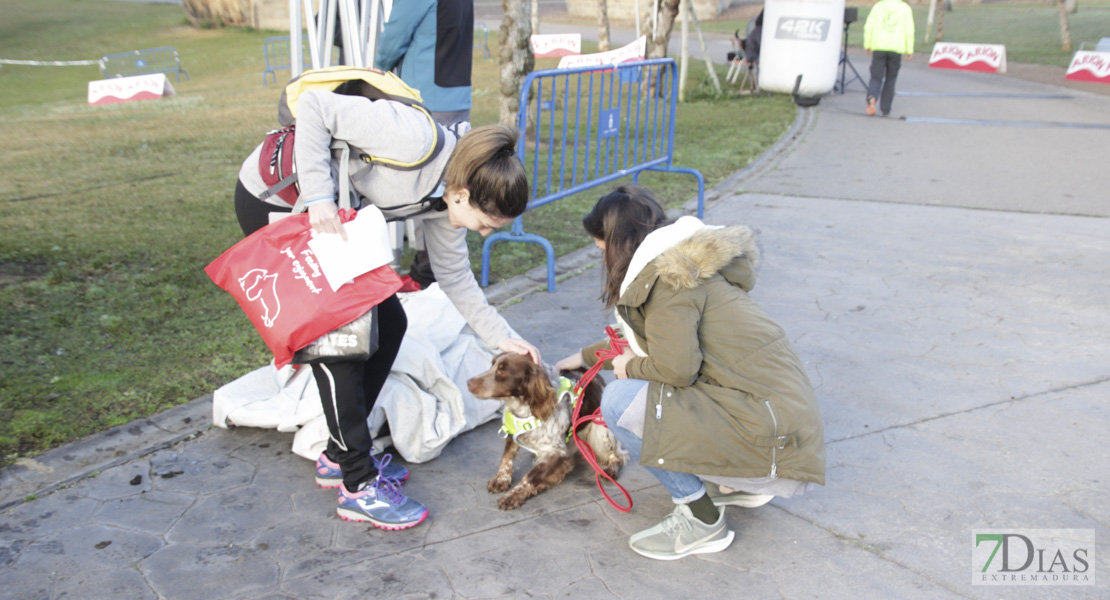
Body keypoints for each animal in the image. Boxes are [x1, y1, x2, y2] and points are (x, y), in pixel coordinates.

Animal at [466, 352, 626, 507]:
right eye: (492, 365)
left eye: (502, 371)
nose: (468, 382)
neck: (525, 409)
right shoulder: (512, 433)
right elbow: (506, 458)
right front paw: (501, 479)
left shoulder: (556, 452)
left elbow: (530, 476)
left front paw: (513, 495)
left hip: (601, 431)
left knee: (619, 455)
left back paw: (611, 469)